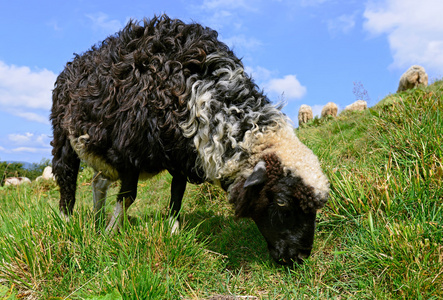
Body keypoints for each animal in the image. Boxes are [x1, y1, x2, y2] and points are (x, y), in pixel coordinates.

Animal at [52, 15, 330, 266]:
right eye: (281, 201)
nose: (299, 257)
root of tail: (76, 61)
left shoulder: (182, 155)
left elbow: (177, 194)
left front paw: (172, 232)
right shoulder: (129, 151)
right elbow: (128, 196)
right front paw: (111, 234)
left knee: (98, 182)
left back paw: (97, 219)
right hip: (64, 138)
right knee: (67, 181)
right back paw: (67, 225)